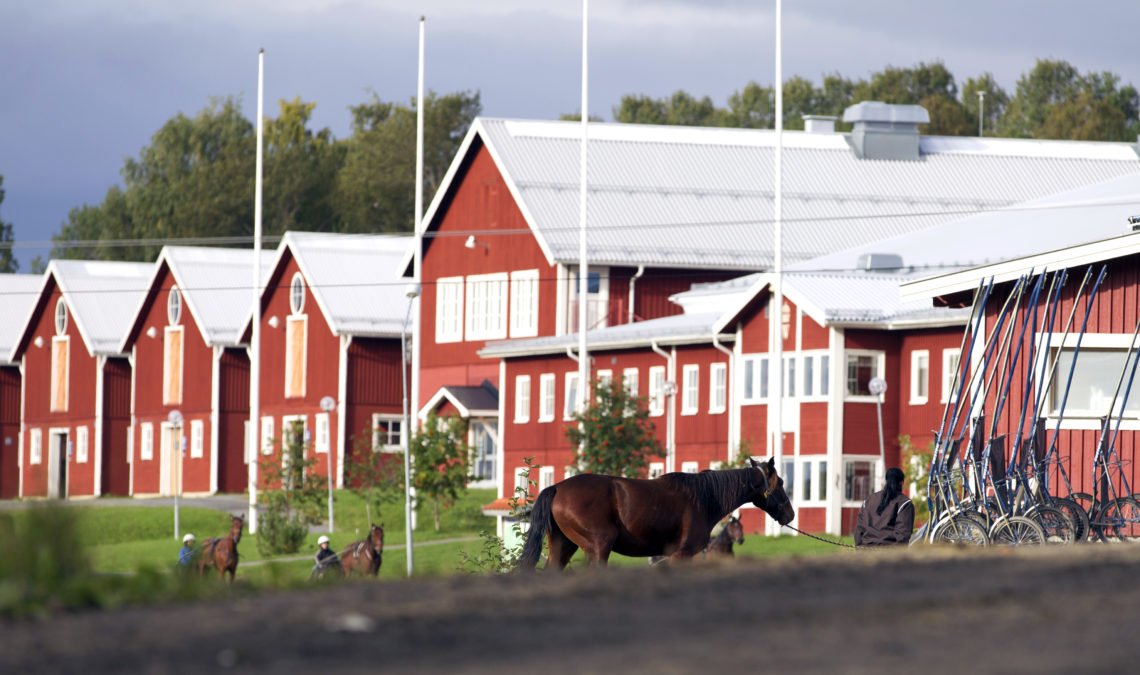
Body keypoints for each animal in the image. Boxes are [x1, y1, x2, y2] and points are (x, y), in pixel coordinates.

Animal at [519, 458, 793, 570]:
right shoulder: (681, 554)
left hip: (563, 546)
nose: (790, 514)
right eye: (780, 482)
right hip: (598, 548)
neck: (703, 498)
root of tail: (557, 487)